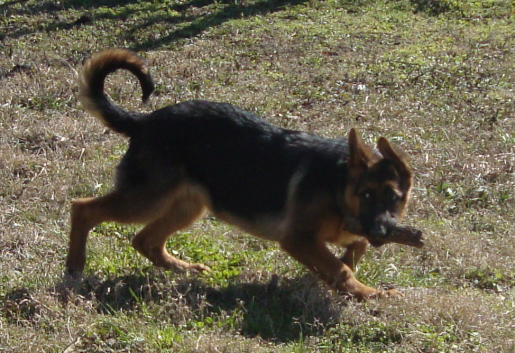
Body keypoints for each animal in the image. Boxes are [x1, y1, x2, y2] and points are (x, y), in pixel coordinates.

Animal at [67, 48, 416, 298]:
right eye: (366, 194)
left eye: (394, 198)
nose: (382, 232)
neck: (338, 184)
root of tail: (145, 121)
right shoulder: (297, 238)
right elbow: (340, 267)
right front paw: (369, 293)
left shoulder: (346, 235)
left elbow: (350, 253)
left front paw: (328, 280)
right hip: (146, 199)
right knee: (83, 209)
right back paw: (74, 269)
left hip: (188, 206)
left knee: (145, 240)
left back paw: (186, 269)